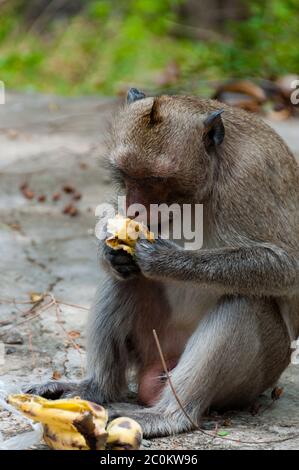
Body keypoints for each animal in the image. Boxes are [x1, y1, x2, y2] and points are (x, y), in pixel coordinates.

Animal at [27, 88, 298, 436]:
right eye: (127, 175)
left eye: (156, 178)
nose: (134, 207)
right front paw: (111, 250)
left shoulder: (251, 176)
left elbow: (285, 266)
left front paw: (164, 259)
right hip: (149, 343)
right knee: (123, 281)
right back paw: (96, 388)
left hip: (256, 377)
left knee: (244, 302)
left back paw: (169, 415)